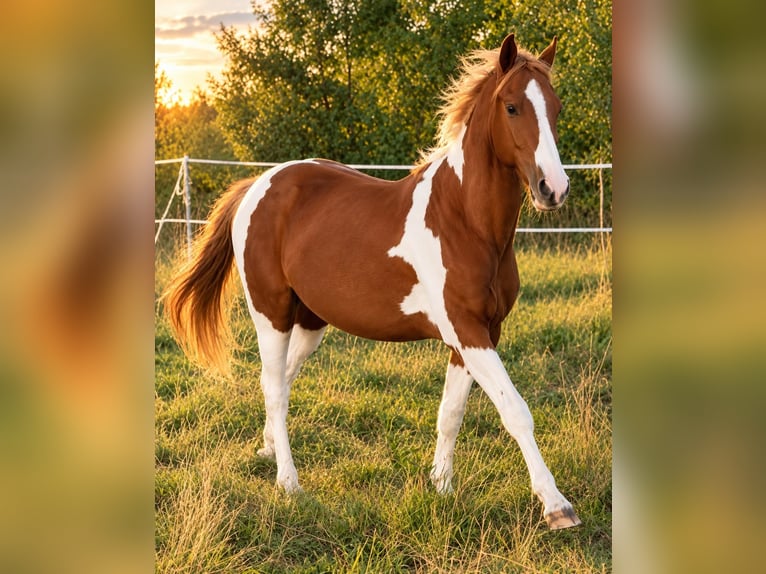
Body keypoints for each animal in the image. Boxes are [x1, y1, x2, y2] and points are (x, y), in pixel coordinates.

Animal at [163, 33, 580, 530]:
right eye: (513, 106)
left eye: (556, 108)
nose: (553, 189)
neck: (464, 220)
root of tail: (258, 186)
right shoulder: (468, 331)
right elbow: (515, 410)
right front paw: (557, 506)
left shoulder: (479, 333)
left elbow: (452, 412)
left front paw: (441, 487)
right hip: (271, 315)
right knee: (274, 387)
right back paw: (289, 482)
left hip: (310, 321)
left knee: (282, 379)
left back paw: (267, 450)